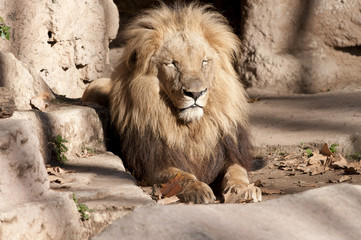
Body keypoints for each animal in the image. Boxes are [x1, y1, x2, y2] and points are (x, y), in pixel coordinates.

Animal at [83, 2, 260, 203]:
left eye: (204, 62)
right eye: (172, 64)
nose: (195, 93)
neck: (193, 128)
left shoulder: (228, 154)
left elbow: (237, 171)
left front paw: (244, 189)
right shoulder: (152, 165)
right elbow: (181, 175)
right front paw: (198, 189)